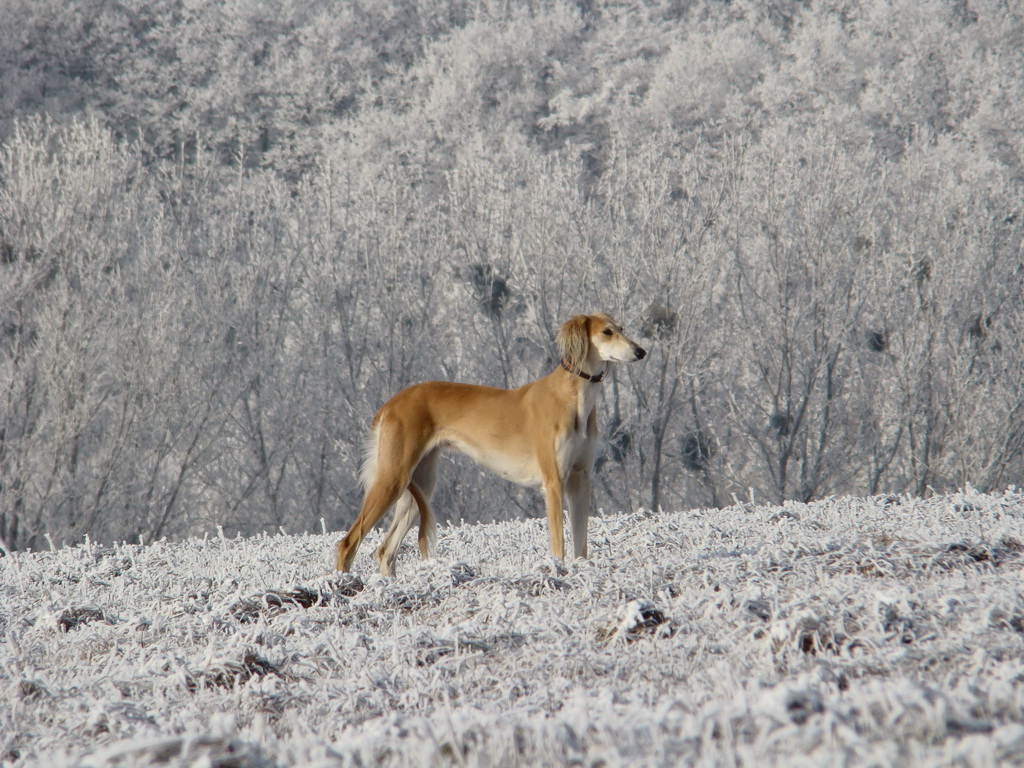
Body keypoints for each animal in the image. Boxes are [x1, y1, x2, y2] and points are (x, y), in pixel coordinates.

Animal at [333, 313, 647, 577]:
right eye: (607, 332)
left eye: (622, 329)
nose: (641, 352)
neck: (575, 398)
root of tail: (391, 403)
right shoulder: (554, 482)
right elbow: (558, 542)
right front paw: (557, 571)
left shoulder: (581, 479)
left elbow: (581, 543)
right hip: (392, 478)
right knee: (347, 542)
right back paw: (343, 587)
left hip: (419, 484)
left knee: (385, 550)